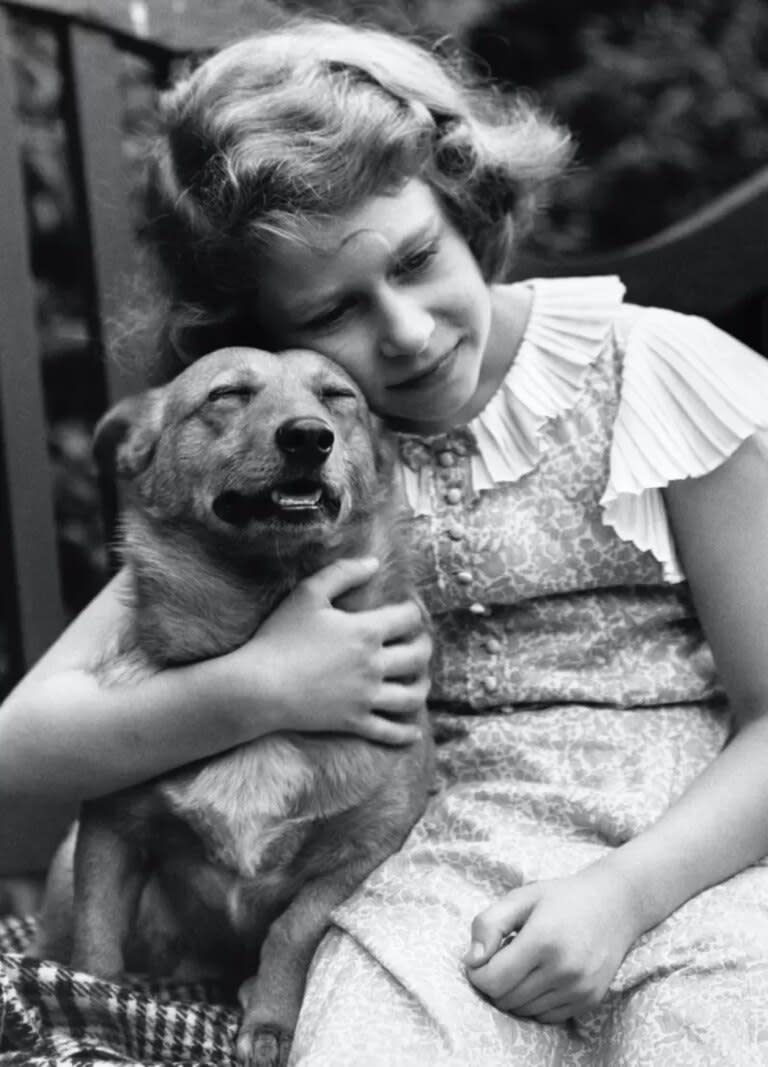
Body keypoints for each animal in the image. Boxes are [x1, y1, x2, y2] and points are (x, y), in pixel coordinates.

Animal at [36, 345, 430, 1067]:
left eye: (338, 397)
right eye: (227, 394)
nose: (308, 436)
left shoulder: (367, 849)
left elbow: (294, 928)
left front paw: (270, 1019)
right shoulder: (108, 832)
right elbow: (95, 951)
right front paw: (92, 1017)